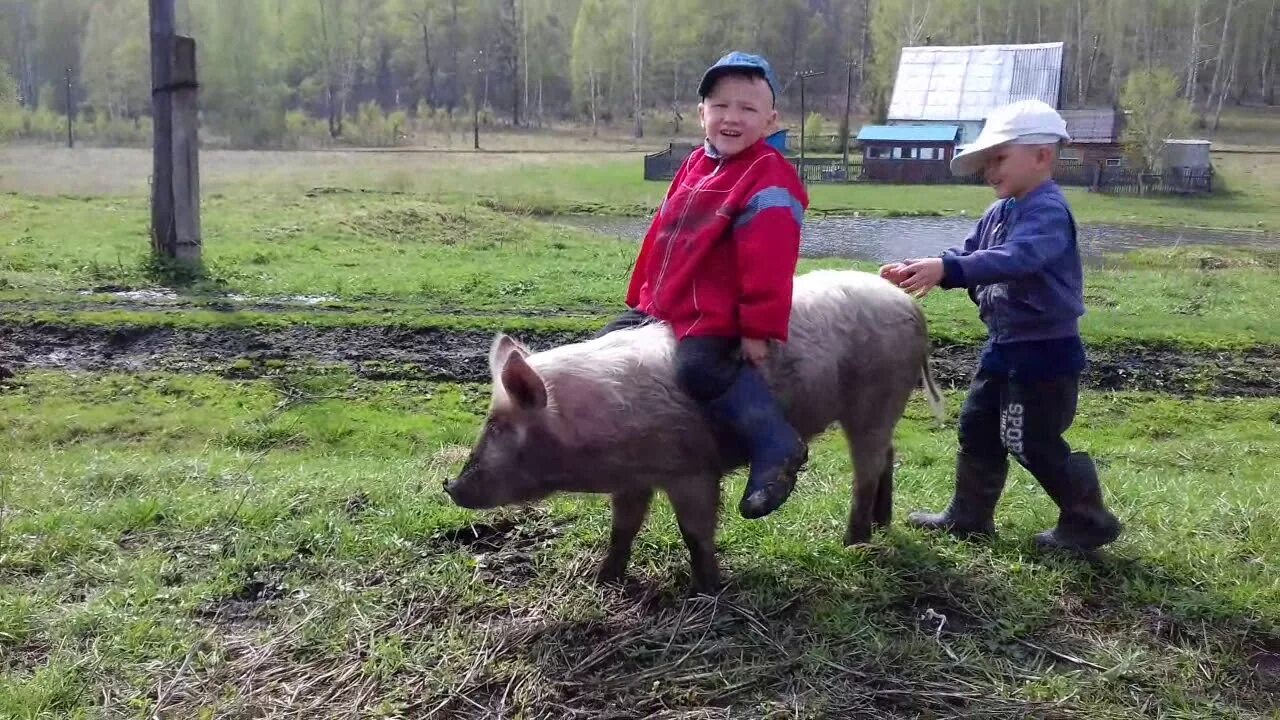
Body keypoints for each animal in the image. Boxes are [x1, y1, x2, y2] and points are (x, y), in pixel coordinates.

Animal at [445, 266, 947, 591]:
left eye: (500, 428)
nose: (451, 485)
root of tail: (911, 305)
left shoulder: (692, 469)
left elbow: (696, 530)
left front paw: (706, 590)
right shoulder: (634, 479)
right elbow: (623, 528)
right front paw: (603, 580)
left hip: (874, 397)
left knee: (865, 469)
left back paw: (852, 544)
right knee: (888, 455)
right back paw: (881, 525)